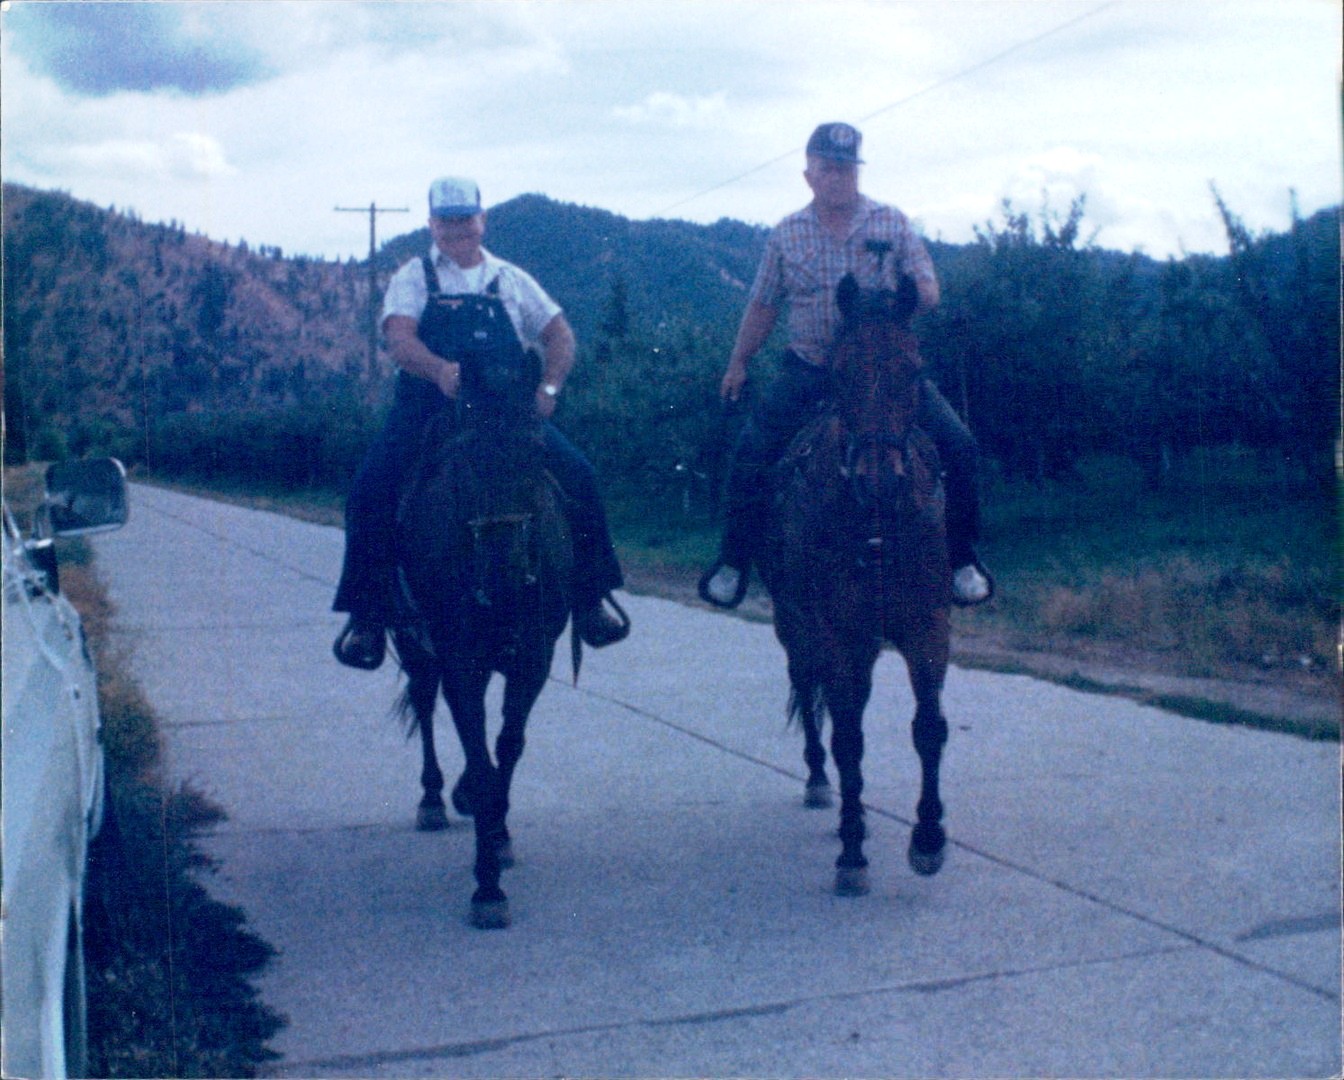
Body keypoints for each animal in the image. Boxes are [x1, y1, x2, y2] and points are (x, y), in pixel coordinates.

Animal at [391, 345, 572, 930]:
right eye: (466, 459)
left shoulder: (533, 656)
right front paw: (487, 885)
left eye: (538, 451)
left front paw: (499, 834)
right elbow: (475, 745)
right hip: (413, 645)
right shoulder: (458, 658)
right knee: (426, 705)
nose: (505, 576)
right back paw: (433, 798)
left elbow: (506, 747)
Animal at [758, 271, 953, 896]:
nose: (879, 481)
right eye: (840, 372)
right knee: (812, 694)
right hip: (795, 626)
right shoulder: (836, 632)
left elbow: (929, 728)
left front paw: (928, 840)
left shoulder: (928, 625)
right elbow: (847, 736)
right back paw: (823, 785)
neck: (877, 526)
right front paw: (851, 853)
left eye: (913, 370)